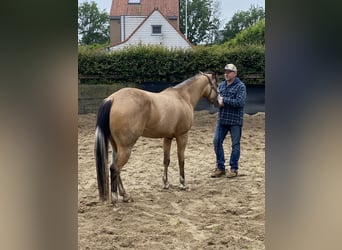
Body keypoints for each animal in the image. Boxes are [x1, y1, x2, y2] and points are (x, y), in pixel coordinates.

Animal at [95, 72, 219, 209]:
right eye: (217, 84)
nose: (219, 102)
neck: (182, 97)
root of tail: (112, 99)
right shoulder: (182, 136)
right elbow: (181, 160)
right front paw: (183, 184)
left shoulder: (168, 138)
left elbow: (166, 160)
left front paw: (166, 184)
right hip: (126, 148)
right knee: (114, 168)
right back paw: (115, 200)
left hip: (116, 147)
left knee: (117, 170)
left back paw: (125, 196)